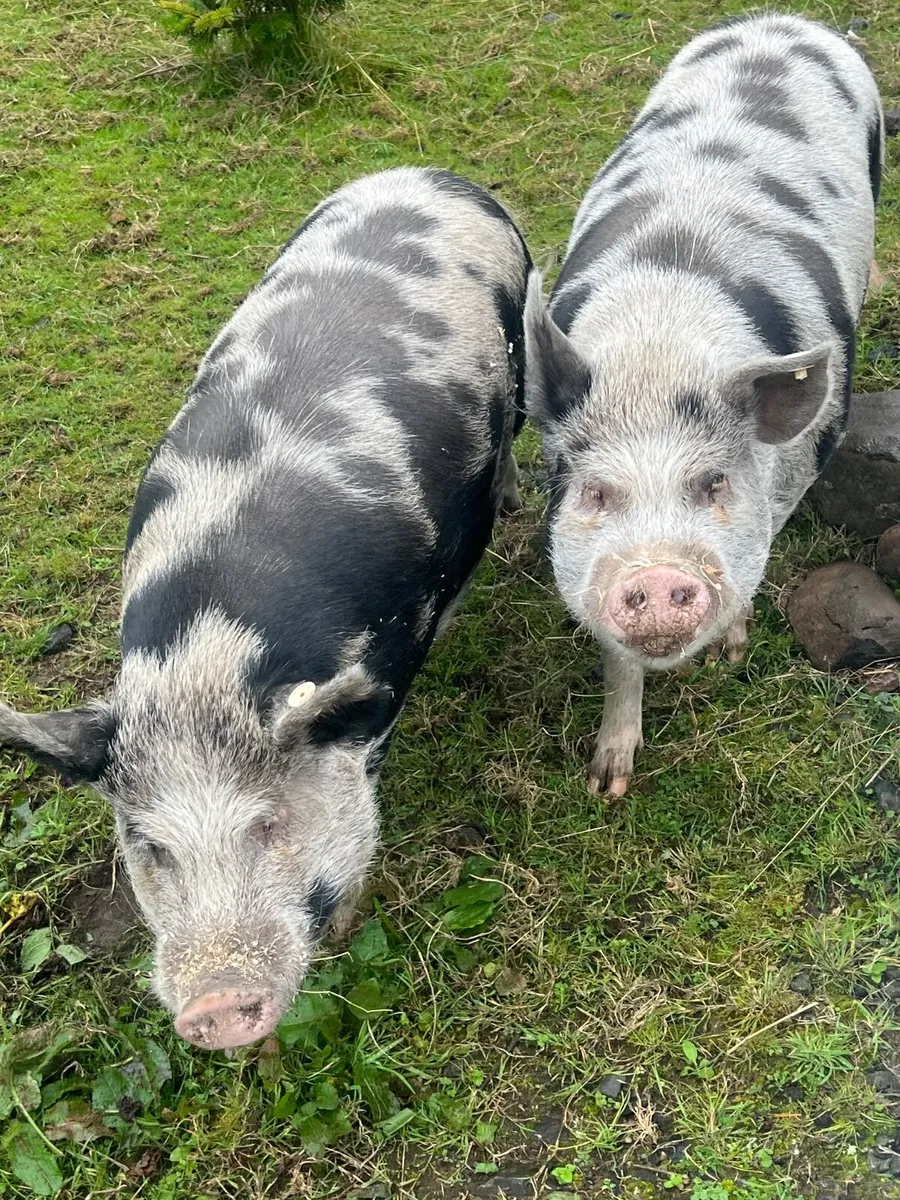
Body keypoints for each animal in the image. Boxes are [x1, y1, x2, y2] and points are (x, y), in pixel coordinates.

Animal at [525, 13, 883, 795]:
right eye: (595, 492)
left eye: (714, 482)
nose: (659, 575)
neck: (662, 350)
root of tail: (784, 20)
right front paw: (607, 783)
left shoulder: (807, 455)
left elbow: (768, 537)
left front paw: (731, 655)